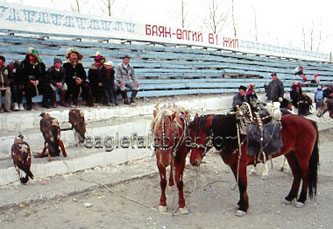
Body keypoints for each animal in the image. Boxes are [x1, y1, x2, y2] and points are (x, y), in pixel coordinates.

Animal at [188, 112, 318, 216]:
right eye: (189, 136)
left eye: (201, 137)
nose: (193, 161)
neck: (236, 136)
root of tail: (309, 122)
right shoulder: (235, 166)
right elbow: (240, 184)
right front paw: (241, 203)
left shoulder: (241, 164)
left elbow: (242, 184)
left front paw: (243, 207)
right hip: (290, 154)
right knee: (297, 174)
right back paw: (290, 197)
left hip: (302, 156)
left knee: (305, 175)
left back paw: (301, 199)